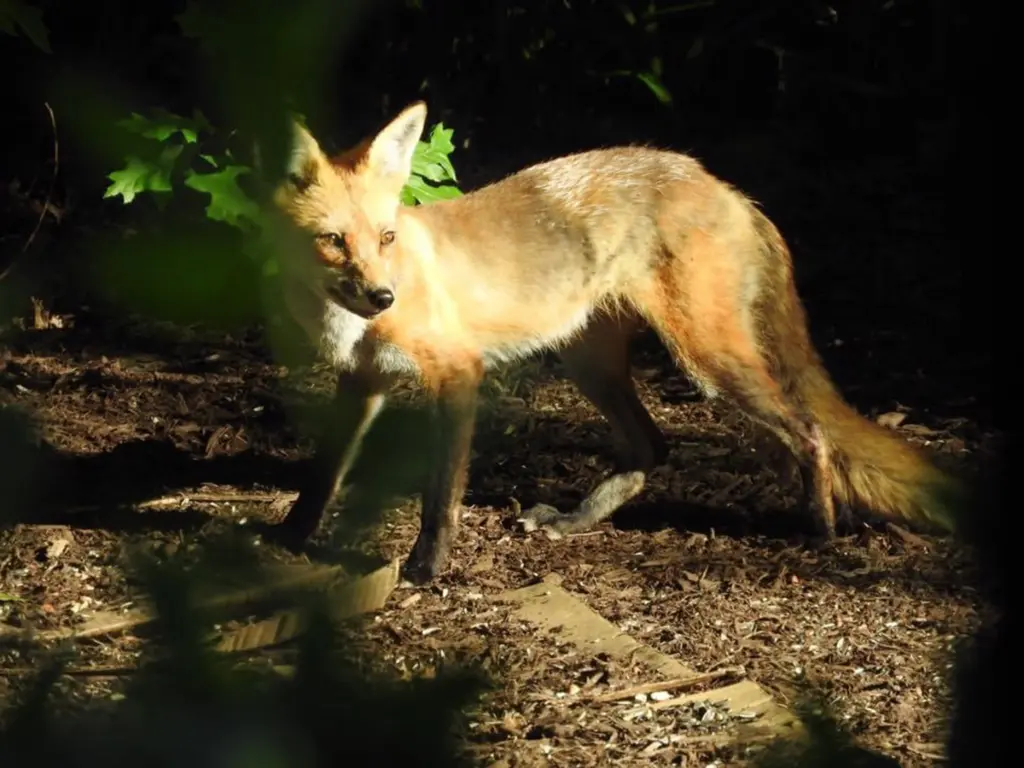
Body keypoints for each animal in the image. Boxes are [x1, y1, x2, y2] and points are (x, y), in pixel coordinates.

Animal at [262, 100, 963, 584]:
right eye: (333, 241)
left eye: (385, 238)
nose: (384, 296)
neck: (351, 322)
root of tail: (720, 183)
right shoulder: (362, 381)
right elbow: (323, 474)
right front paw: (288, 539)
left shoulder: (458, 373)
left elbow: (440, 497)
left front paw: (427, 568)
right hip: (589, 362)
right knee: (652, 446)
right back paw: (574, 521)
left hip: (705, 358)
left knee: (810, 432)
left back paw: (821, 532)